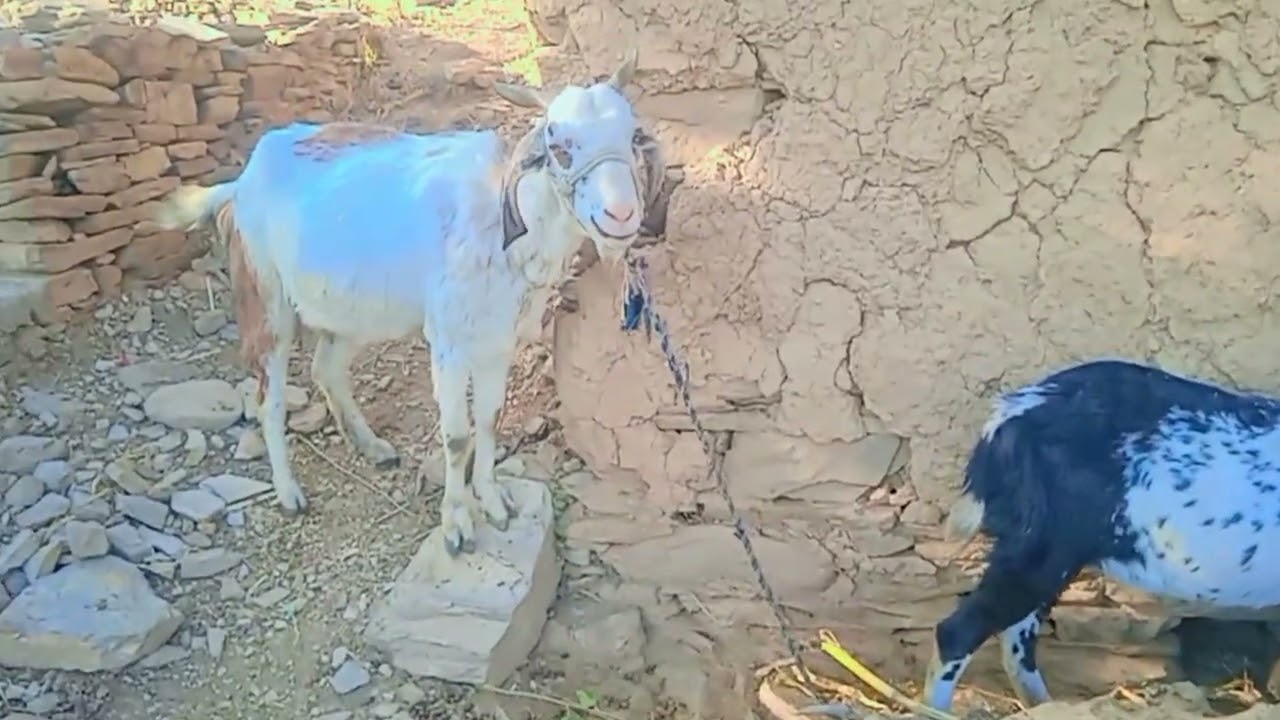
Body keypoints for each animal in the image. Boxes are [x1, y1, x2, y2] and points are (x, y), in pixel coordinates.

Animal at [154, 52, 669, 556]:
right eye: (557, 143)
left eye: (632, 135)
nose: (621, 216)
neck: (503, 224)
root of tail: (241, 182)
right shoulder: (449, 341)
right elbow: (457, 437)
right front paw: (457, 524)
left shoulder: (498, 339)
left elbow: (489, 421)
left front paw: (493, 499)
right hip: (266, 295)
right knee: (270, 399)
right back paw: (288, 492)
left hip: (349, 308)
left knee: (326, 369)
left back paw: (372, 446)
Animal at [925, 358, 1280, 711]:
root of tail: (1010, 415)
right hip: (1044, 542)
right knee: (959, 631)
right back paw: (938, 709)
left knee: (1016, 633)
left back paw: (1043, 704)